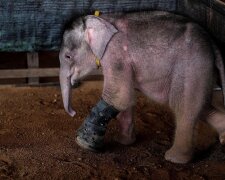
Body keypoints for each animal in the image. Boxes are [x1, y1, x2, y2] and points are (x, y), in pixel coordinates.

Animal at [59, 10, 225, 164]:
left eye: (68, 56)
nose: (73, 113)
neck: (101, 19)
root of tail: (212, 43)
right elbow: (126, 96)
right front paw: (124, 142)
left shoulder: (115, 54)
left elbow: (119, 96)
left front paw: (84, 143)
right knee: (201, 106)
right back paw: (223, 136)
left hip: (191, 66)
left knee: (183, 106)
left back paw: (174, 159)